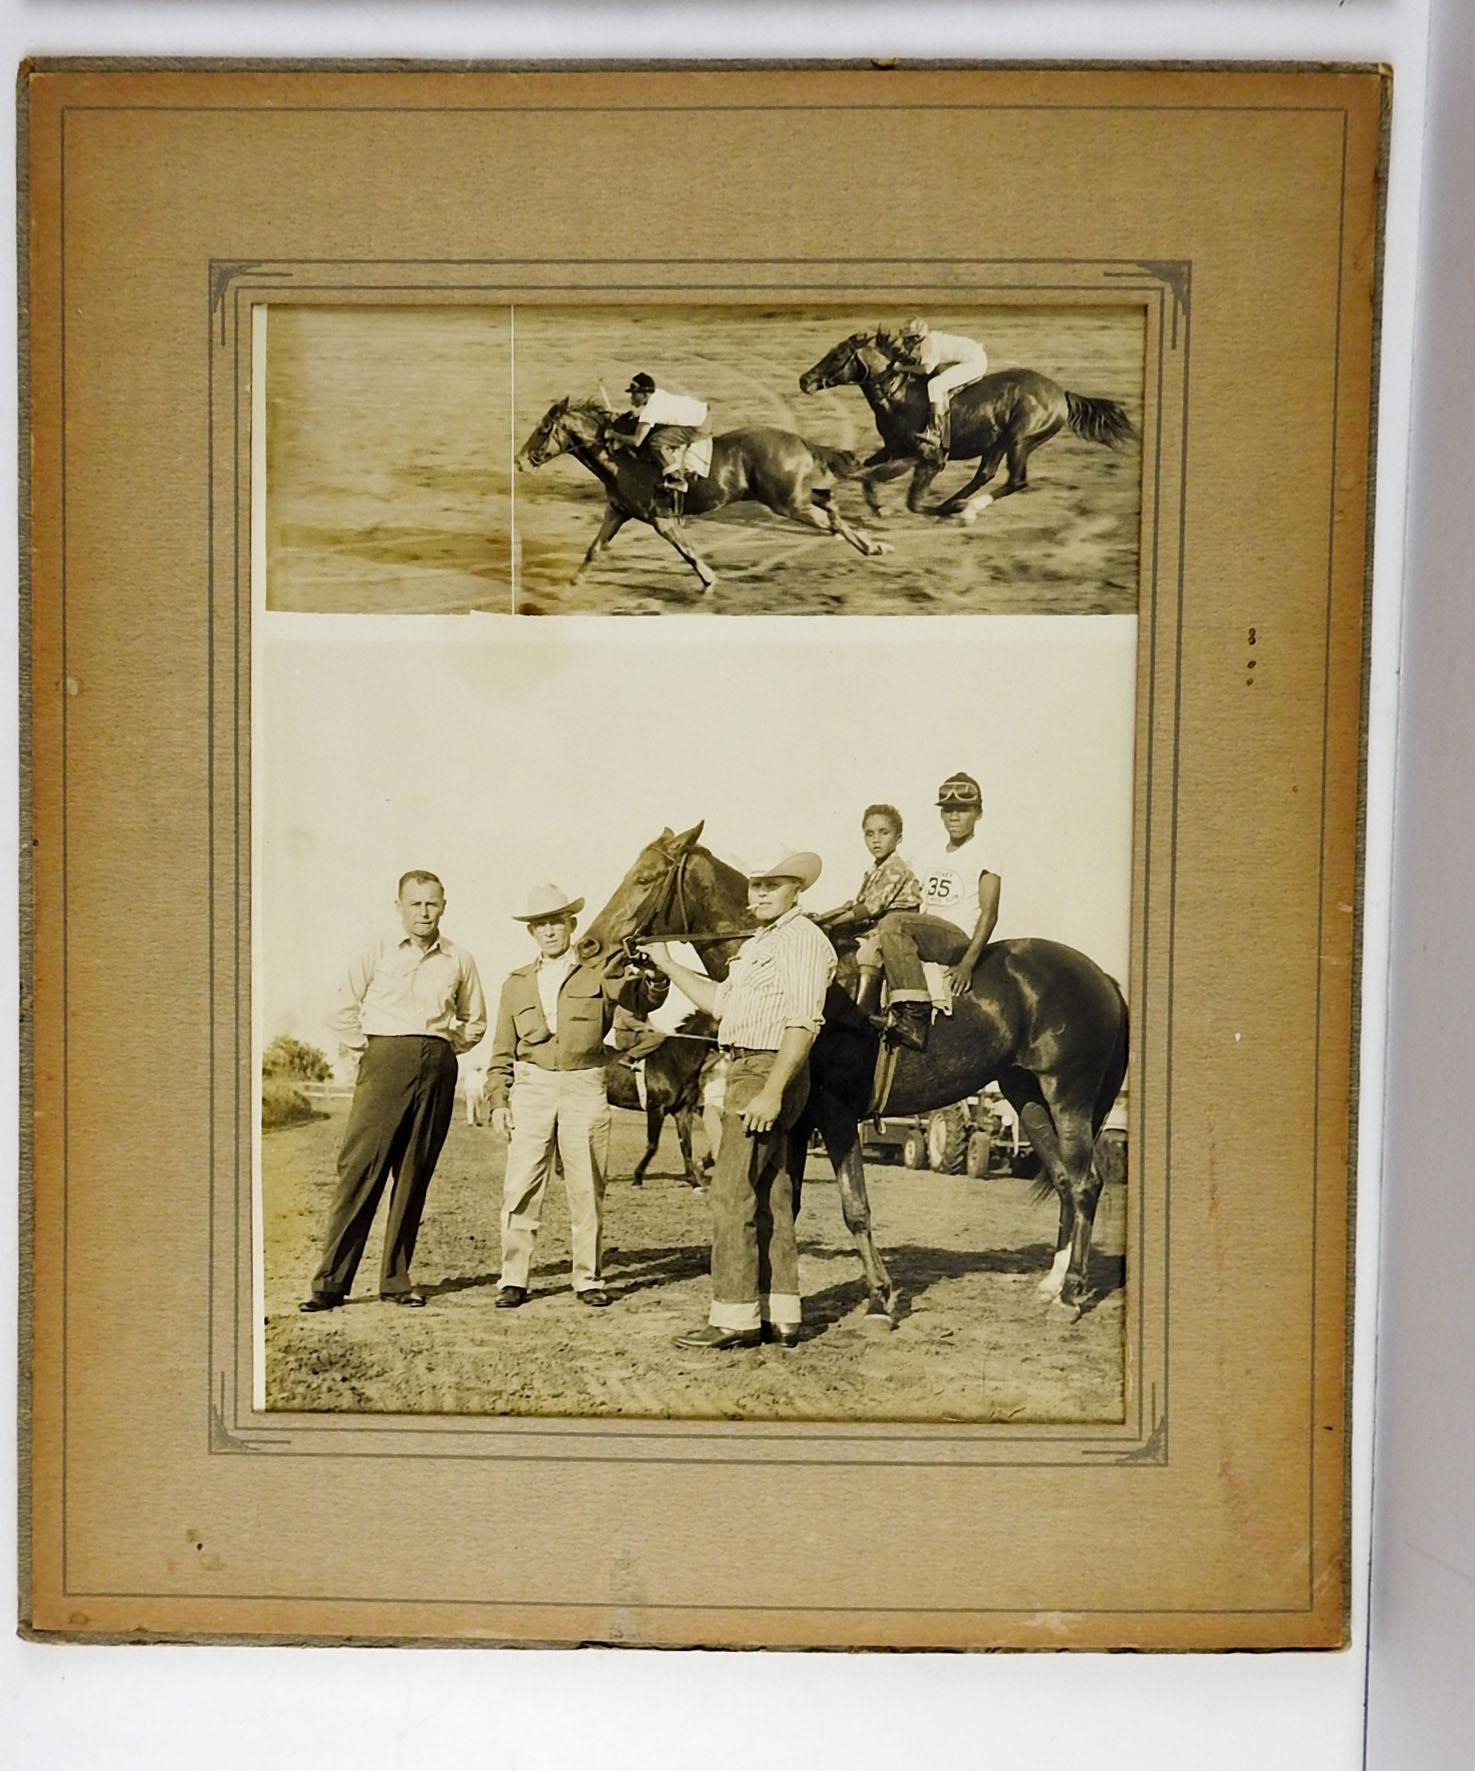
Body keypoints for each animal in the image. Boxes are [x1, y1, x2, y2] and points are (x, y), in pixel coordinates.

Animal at [513, 396, 892, 595]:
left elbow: (688, 551)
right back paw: (874, 545)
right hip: (797, 495)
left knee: (831, 521)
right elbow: (595, 548)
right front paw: (574, 580)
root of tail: (800, 440)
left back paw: (872, 546)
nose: (519, 460)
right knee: (831, 507)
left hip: (788, 503)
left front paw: (709, 580)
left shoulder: (662, 520)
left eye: (543, 430)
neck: (623, 458)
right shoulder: (617, 512)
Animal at [598, 1013, 715, 1190]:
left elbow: (686, 1146)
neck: (676, 1061)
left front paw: (693, 1181)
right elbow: (653, 1145)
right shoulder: (656, 1109)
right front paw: (637, 1178)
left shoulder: (683, 1112)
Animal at [800, 332, 1133, 520]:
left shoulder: (929, 460)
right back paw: (957, 503)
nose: (805, 380)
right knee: (986, 474)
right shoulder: (894, 447)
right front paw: (878, 507)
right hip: (996, 444)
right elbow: (866, 472)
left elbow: (910, 500)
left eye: (837, 356)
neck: (899, 394)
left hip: (1020, 440)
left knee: (1016, 481)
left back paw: (966, 509)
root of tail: (1061, 393)